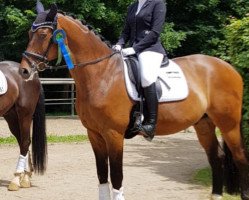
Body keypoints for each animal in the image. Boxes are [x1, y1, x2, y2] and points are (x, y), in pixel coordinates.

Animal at [0, 60, 46, 191]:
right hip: (11, 116)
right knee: (23, 142)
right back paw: (26, 175)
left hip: (25, 114)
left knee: (25, 142)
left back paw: (17, 179)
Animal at [20, 3, 249, 200]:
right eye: (29, 34)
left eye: (42, 35)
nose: (24, 71)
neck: (101, 74)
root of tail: (229, 67)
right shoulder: (94, 134)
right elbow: (102, 175)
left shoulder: (113, 134)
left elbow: (117, 176)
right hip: (204, 124)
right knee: (216, 157)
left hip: (228, 124)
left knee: (240, 158)